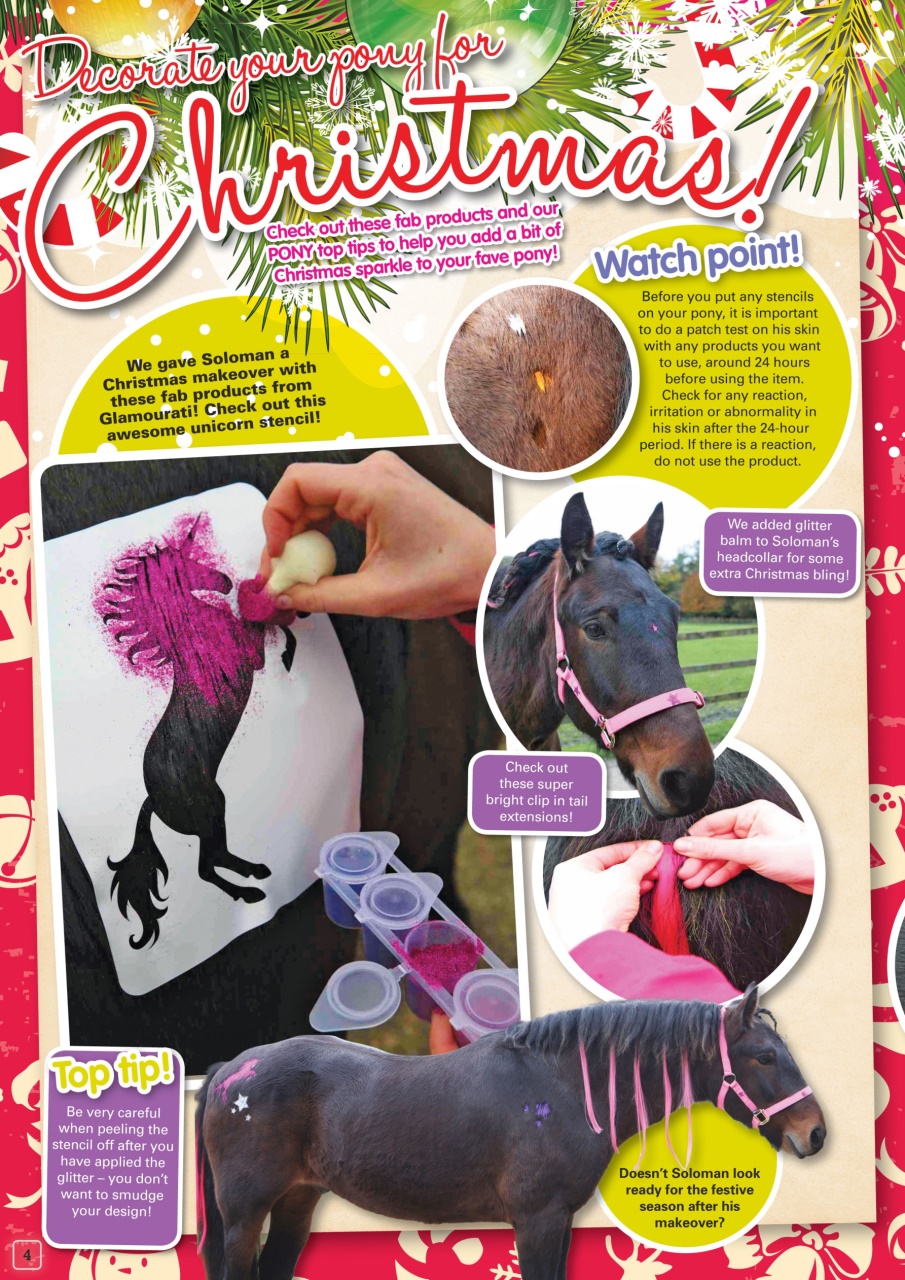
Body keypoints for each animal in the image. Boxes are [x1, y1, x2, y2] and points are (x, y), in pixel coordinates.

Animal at [98, 513, 297, 950]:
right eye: (188, 566)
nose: (225, 582)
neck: (192, 632)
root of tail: (152, 801)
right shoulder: (249, 657)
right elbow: (259, 629)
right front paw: (286, 642)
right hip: (211, 809)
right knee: (207, 867)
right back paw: (250, 892)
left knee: (217, 858)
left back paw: (256, 872)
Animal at [195, 984, 825, 1280]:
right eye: (766, 1056)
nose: (815, 1132)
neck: (561, 1084)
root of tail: (230, 1069)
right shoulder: (537, 1219)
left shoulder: (558, 1221)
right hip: (244, 1215)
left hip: (297, 1200)